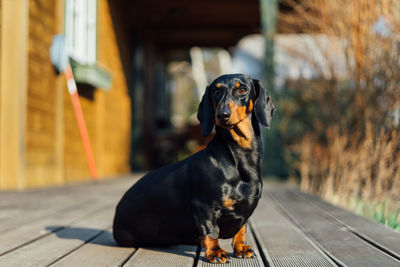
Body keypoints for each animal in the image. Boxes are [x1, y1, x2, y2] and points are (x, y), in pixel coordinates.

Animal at [112, 73, 276, 264]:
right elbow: (211, 231)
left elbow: (241, 228)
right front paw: (215, 252)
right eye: (216, 91)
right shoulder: (204, 205)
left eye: (242, 89)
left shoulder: (245, 210)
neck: (239, 158)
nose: (222, 115)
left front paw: (241, 248)